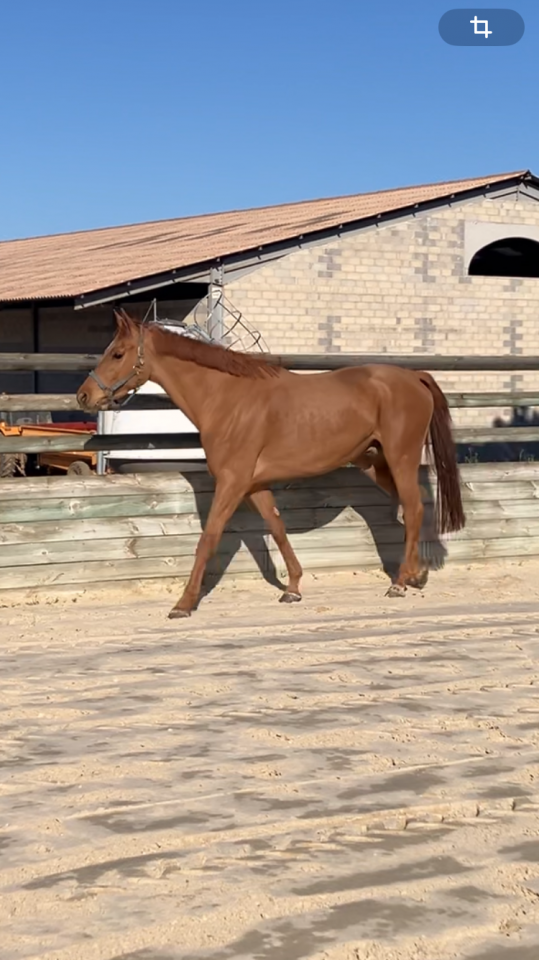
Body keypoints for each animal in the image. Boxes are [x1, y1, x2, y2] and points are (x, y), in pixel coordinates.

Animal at [77, 309, 465, 618]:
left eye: (118, 353)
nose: (84, 396)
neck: (227, 399)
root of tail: (413, 376)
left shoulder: (231, 482)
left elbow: (208, 538)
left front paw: (183, 604)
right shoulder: (254, 485)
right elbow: (277, 529)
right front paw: (292, 589)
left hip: (401, 458)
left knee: (413, 508)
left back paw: (399, 583)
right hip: (374, 463)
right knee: (413, 510)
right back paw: (415, 574)